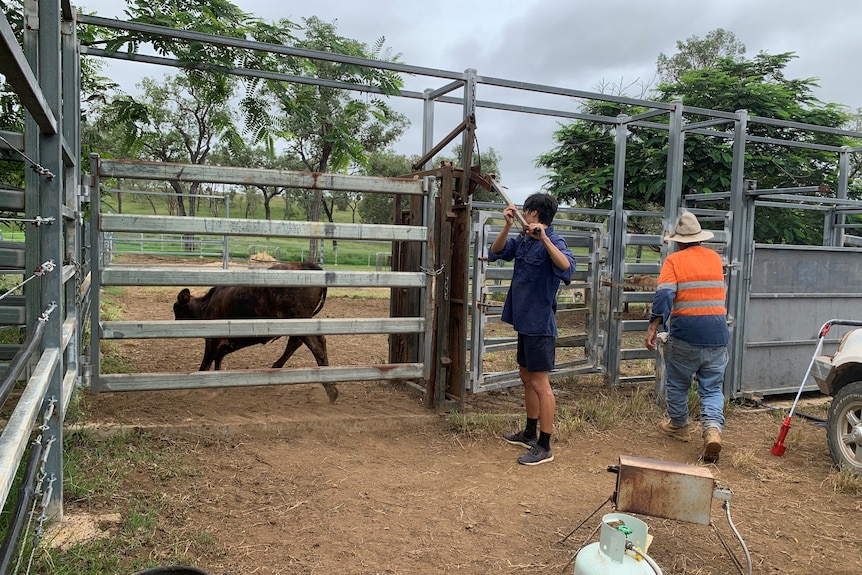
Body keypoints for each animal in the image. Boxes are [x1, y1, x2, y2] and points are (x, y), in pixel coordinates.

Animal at [174, 264, 340, 402]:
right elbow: (217, 360)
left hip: (299, 317)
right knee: (296, 342)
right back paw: (275, 368)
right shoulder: (225, 344)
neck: (206, 305)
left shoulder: (213, 339)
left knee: (316, 343)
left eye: (177, 310)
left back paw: (331, 390)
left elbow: (206, 363)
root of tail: (307, 265)